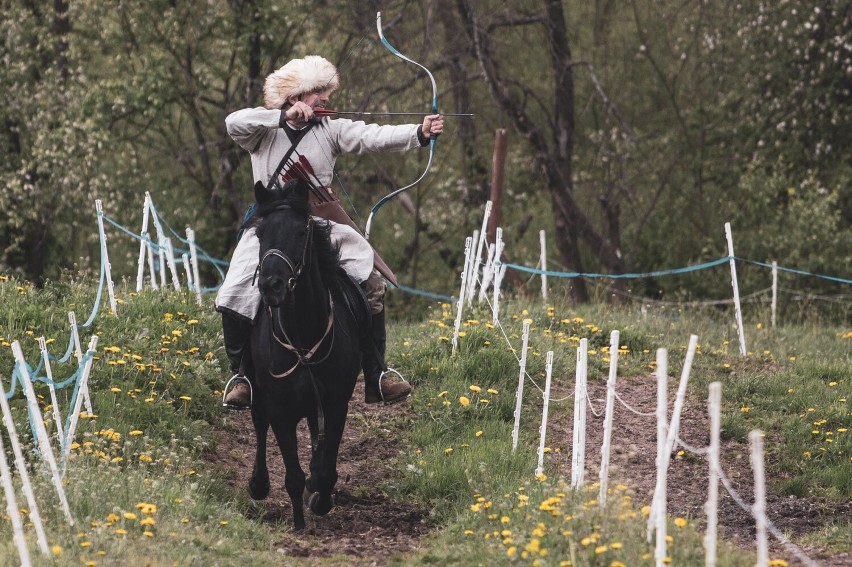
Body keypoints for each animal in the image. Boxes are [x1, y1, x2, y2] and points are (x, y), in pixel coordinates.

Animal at [245, 179, 368, 532]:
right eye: (260, 233)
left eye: (301, 232)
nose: (271, 286)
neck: (304, 333)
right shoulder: (279, 408)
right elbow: (292, 474)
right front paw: (299, 524)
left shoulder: (336, 402)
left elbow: (326, 467)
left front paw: (320, 498)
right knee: (259, 424)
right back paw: (258, 484)